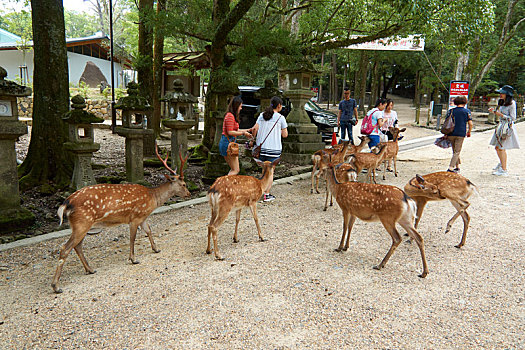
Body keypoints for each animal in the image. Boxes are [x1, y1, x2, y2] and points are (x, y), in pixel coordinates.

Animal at [50, 144, 190, 294]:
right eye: (183, 184)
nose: (189, 193)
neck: (153, 199)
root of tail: (66, 203)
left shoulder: (143, 217)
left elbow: (149, 230)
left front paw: (156, 249)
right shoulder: (135, 217)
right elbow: (133, 238)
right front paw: (133, 259)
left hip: (80, 225)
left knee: (77, 246)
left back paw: (90, 270)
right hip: (82, 222)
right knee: (65, 248)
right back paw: (56, 286)